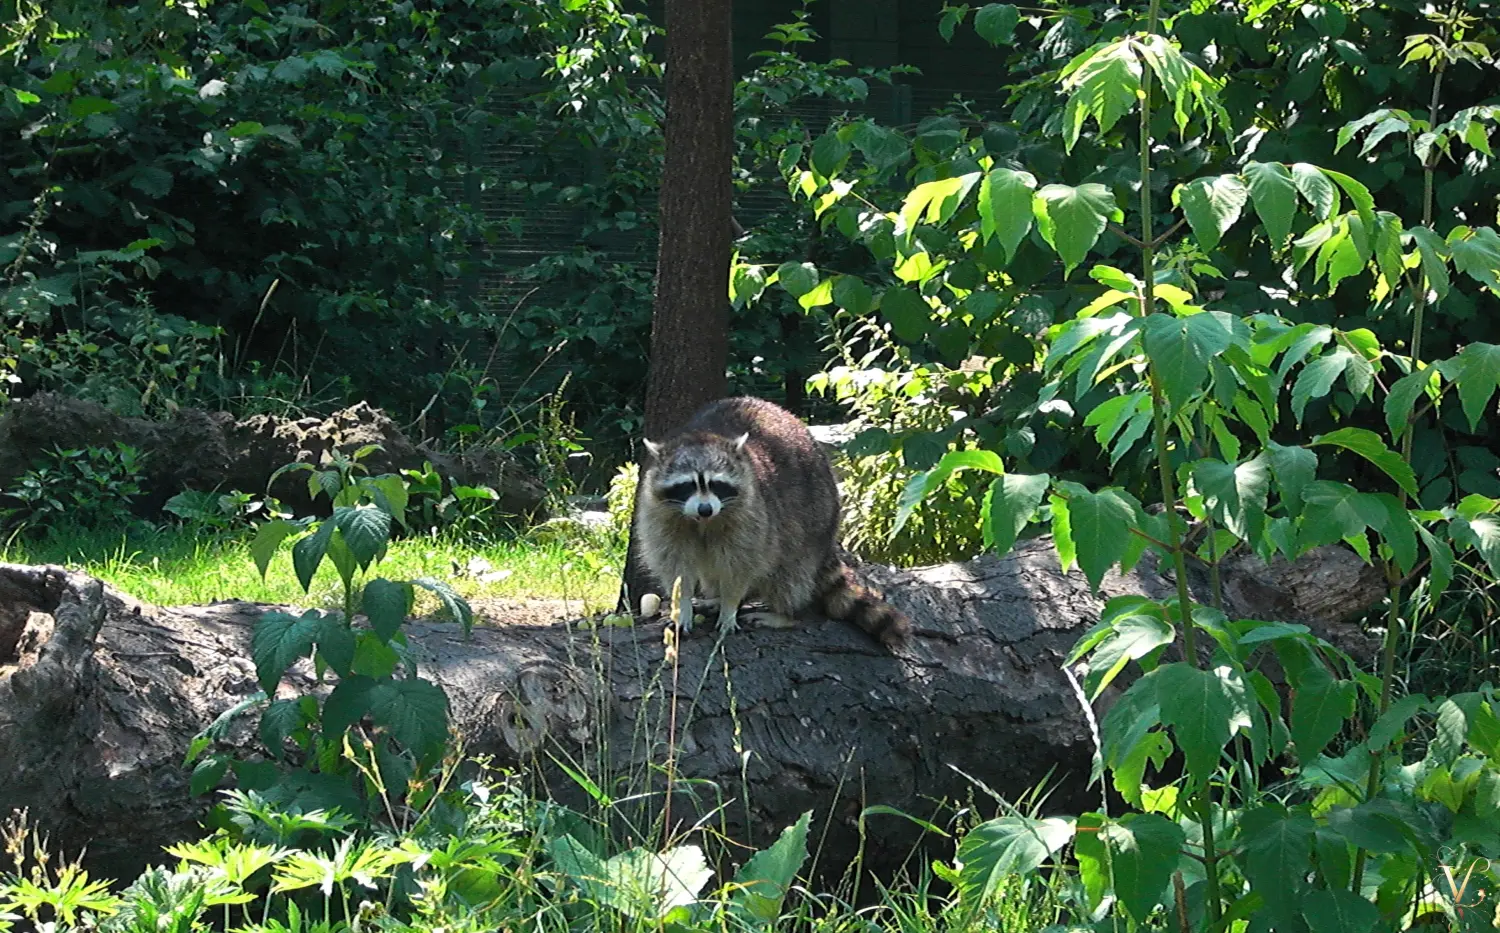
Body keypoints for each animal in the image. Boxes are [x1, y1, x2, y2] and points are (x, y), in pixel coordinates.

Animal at [636, 399, 906, 654]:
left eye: (716, 484)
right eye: (687, 485)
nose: (705, 508)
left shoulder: (752, 514)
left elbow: (740, 566)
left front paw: (730, 605)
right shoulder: (660, 515)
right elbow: (676, 566)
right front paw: (683, 606)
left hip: (814, 520)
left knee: (789, 573)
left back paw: (786, 614)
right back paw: (717, 598)